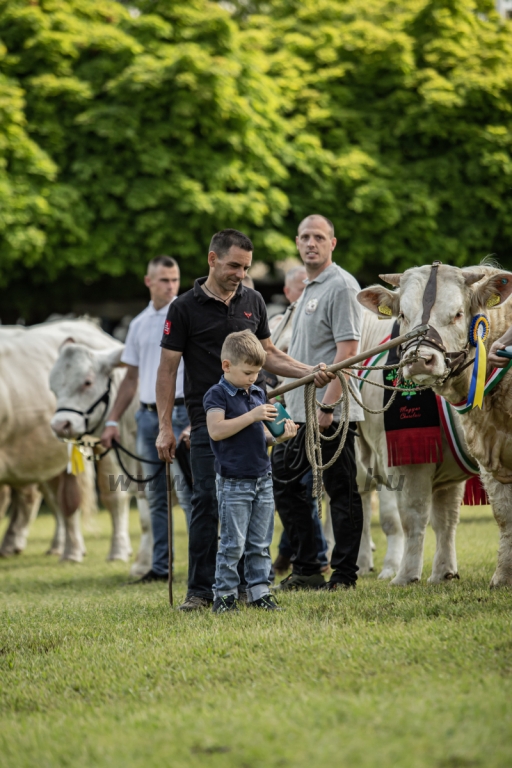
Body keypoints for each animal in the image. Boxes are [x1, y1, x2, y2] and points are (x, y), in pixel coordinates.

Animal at [360, 264, 512, 588]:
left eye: (457, 314)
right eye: (403, 315)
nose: (420, 360)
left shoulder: (404, 460)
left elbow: (411, 515)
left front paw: (404, 575)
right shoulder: (480, 454)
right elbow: (450, 517)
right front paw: (445, 571)